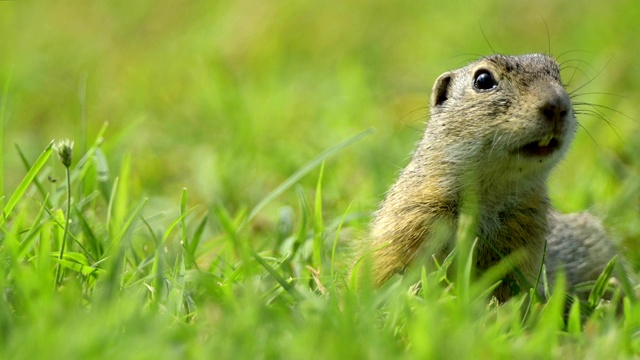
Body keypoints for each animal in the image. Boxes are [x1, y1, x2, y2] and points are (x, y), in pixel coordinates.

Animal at [368, 53, 616, 300]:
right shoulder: (411, 219)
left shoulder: (524, 229)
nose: (557, 104)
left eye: (557, 74)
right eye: (483, 80)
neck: (488, 192)